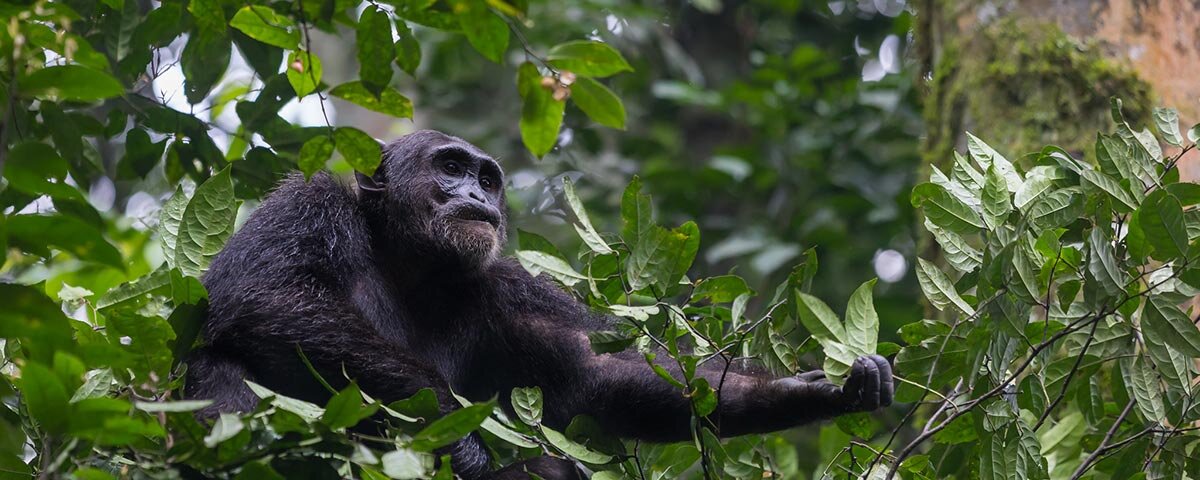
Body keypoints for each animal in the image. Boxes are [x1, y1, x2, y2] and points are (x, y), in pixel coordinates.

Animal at [184, 130, 894, 479]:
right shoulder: (307, 206)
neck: (407, 257)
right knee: (222, 374)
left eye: (486, 176)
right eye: (449, 167)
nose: (476, 192)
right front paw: (461, 437)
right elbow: (264, 296)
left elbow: (595, 374)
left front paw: (823, 390)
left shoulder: (510, 289)